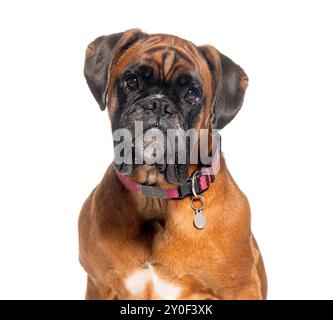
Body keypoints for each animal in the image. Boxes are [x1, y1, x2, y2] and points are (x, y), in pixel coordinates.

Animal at [78, 28, 268, 300]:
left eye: (192, 94)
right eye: (132, 81)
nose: (159, 104)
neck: (156, 197)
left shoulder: (241, 289)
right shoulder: (99, 284)